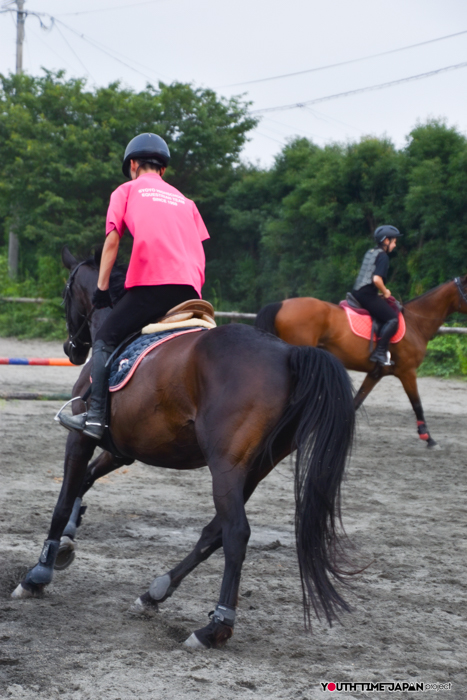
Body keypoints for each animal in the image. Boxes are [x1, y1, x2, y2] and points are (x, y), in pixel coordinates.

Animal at [11, 247, 356, 650]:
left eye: (67, 295)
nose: (72, 350)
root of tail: (287, 354)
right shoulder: (122, 447)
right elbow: (85, 483)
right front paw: (67, 542)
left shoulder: (81, 437)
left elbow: (64, 497)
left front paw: (39, 573)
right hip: (254, 469)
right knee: (213, 533)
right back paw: (154, 593)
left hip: (225, 466)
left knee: (235, 533)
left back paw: (214, 628)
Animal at [255, 276, 467, 449]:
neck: (416, 323)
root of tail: (281, 304)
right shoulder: (407, 372)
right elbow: (417, 404)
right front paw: (429, 438)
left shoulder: (376, 374)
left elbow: (356, 403)